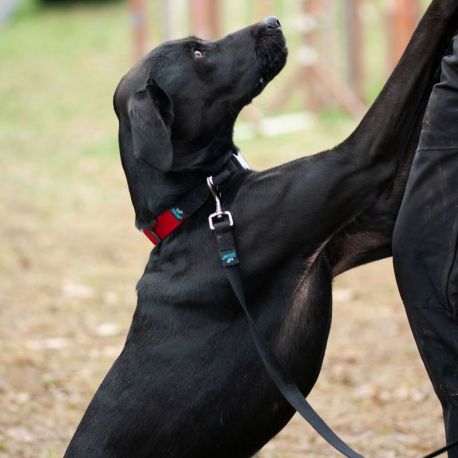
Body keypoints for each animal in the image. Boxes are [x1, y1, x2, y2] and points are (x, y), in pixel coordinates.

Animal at [63, 1, 458, 456]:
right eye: (196, 52)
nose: (273, 21)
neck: (200, 205)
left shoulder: (375, 220)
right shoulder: (357, 161)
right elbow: (416, 52)